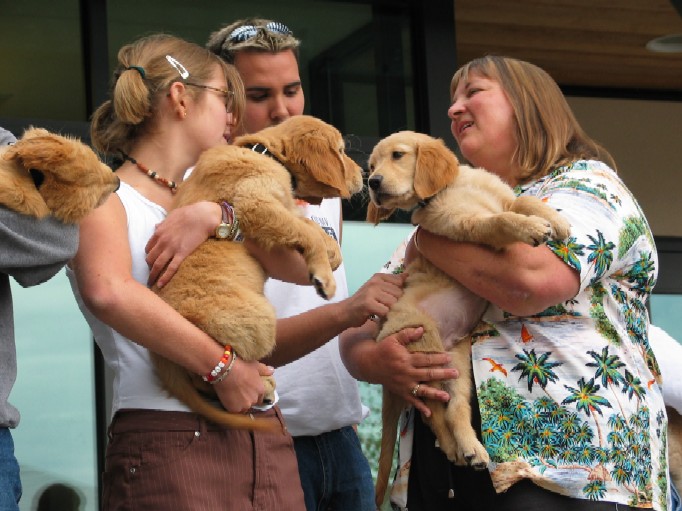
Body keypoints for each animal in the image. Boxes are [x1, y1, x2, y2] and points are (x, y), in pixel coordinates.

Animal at [152, 115, 363, 432]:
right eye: (340, 150)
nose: (365, 175)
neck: (265, 152)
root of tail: (161, 360)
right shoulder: (256, 204)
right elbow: (308, 231)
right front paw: (324, 276)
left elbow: (308, 226)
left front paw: (332, 252)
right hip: (256, 320)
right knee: (214, 373)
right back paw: (261, 386)